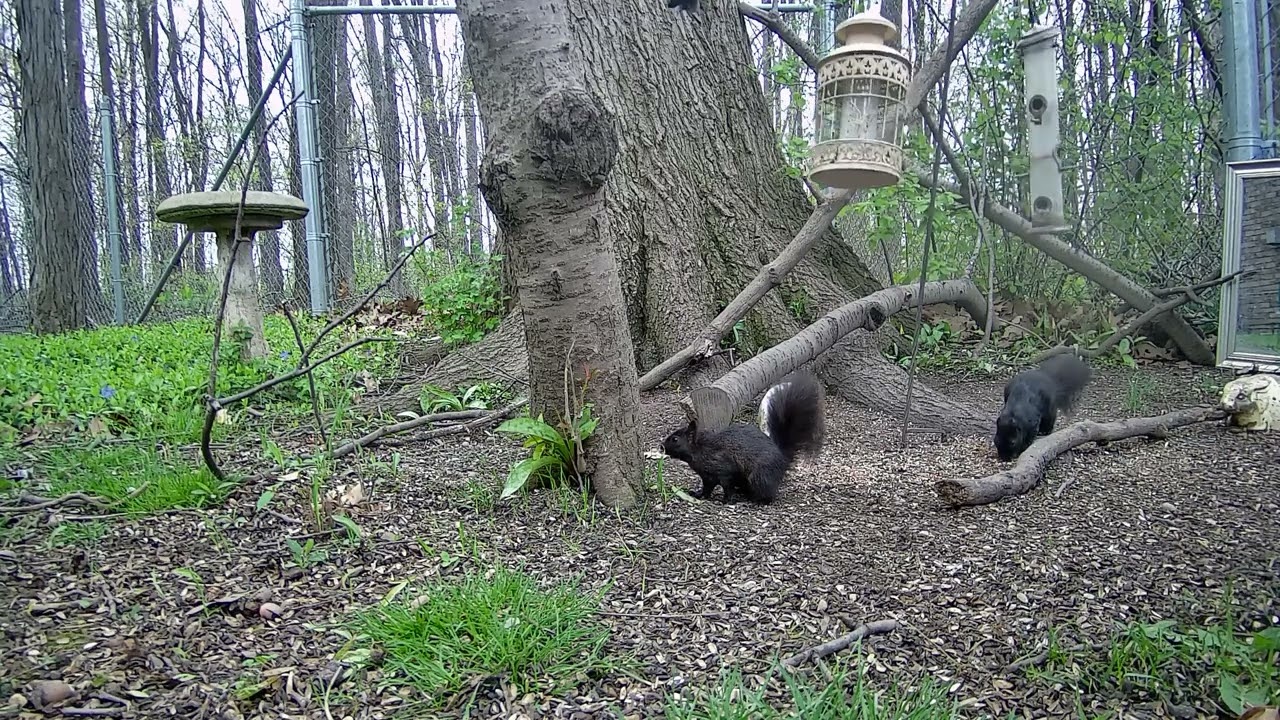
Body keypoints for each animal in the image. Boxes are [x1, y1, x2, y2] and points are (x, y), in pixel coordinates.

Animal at [661, 370, 826, 503]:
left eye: (675, 439)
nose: (662, 447)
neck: (700, 449)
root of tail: (783, 460)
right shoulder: (707, 477)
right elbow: (707, 488)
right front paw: (698, 494)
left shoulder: (723, 469)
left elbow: (726, 486)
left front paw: (726, 500)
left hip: (759, 476)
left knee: (768, 494)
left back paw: (756, 500)